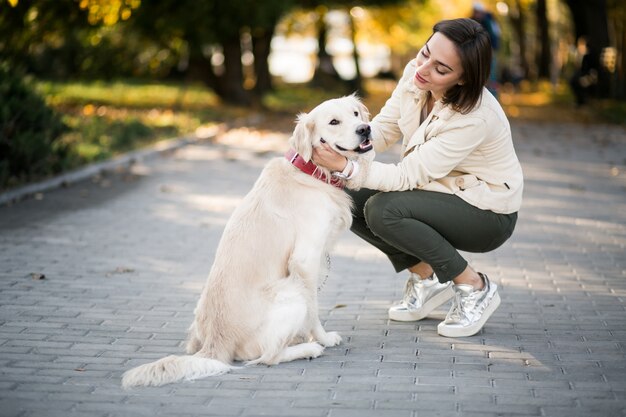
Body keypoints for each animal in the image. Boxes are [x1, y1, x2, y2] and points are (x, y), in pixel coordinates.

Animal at [120, 95, 370, 386]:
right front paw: (323, 338)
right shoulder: (305, 260)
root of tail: (215, 344)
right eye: (333, 122)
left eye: (355, 114)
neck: (310, 171)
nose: (365, 129)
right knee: (268, 357)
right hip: (290, 292)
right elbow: (313, 310)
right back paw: (307, 348)